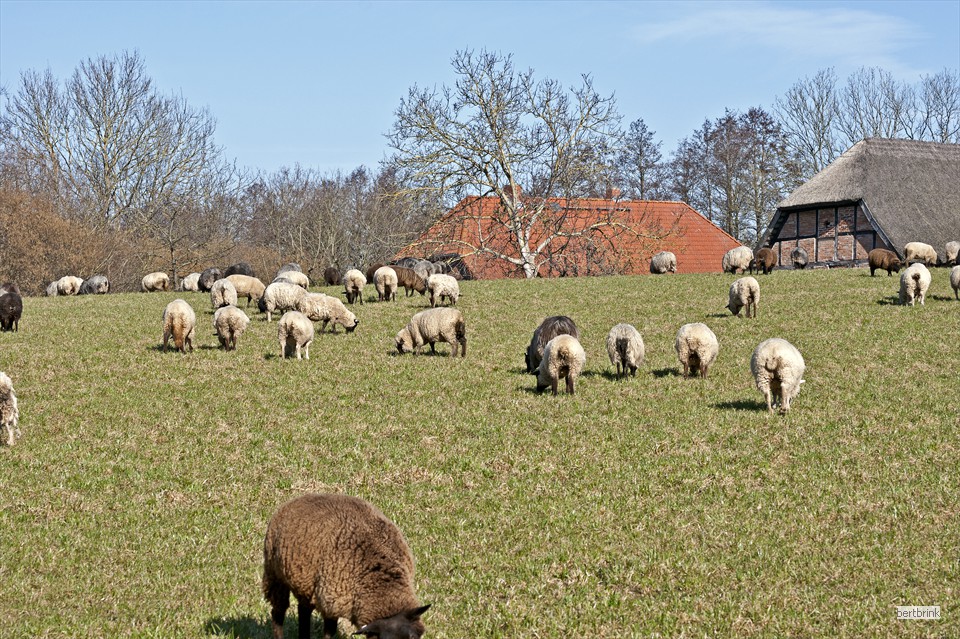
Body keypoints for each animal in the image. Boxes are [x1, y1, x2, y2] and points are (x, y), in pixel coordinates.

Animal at [262, 493, 430, 639]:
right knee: (279, 611)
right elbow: (329, 632)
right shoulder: (331, 600)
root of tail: (299, 498)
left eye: (413, 637)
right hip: (275, 574)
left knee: (303, 610)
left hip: (307, 586)